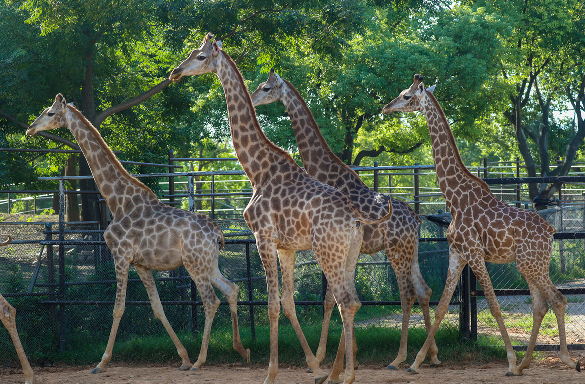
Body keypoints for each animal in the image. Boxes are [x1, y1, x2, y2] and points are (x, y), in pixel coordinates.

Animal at [25, 96, 249, 376]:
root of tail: (217, 232)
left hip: (194, 264)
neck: (118, 201)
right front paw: (183, 357)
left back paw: (201, 361)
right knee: (232, 289)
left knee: (210, 301)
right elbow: (158, 308)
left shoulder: (120, 256)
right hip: (209, 263)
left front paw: (101, 362)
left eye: (50, 113)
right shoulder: (142, 264)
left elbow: (118, 308)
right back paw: (241, 350)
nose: (30, 129)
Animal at [169, 33, 392, 384]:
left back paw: (347, 375)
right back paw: (341, 371)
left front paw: (271, 373)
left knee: (345, 300)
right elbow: (288, 302)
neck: (257, 169)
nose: (175, 72)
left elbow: (272, 304)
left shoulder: (263, 236)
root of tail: (356, 220)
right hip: (349, 253)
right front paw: (314, 366)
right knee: (353, 301)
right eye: (192, 52)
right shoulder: (286, 246)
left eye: (201, 56)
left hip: (327, 251)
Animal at [250, 70, 438, 372]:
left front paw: (324, 357)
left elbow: (329, 299)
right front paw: (350, 355)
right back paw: (431, 355)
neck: (324, 171)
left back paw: (399, 358)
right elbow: (340, 297)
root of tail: (417, 218)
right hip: (412, 251)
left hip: (396, 251)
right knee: (423, 290)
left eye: (266, 88)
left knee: (407, 293)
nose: (253, 99)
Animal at [384, 74, 580, 376]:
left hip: (530, 263)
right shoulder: (457, 253)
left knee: (557, 300)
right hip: (531, 264)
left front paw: (508, 360)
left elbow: (495, 305)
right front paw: (416, 363)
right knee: (540, 305)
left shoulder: (475, 253)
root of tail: (550, 231)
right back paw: (525, 363)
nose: (386, 107)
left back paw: (562, 360)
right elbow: (442, 306)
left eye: (406, 96)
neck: (455, 197)